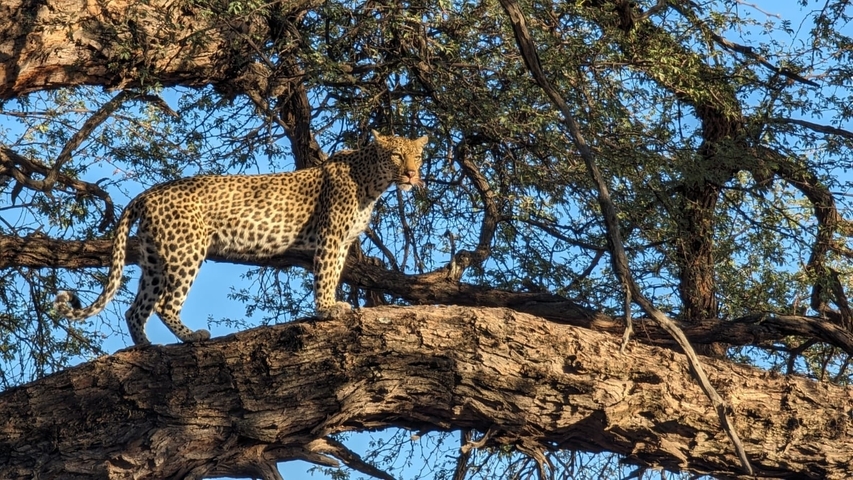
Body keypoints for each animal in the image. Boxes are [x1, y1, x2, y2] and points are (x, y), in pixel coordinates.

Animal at [54, 130, 428, 345]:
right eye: (397, 155)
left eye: (419, 156)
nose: (412, 174)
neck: (372, 182)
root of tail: (147, 194)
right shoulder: (331, 237)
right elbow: (325, 275)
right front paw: (326, 309)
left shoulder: (345, 241)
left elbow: (335, 273)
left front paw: (330, 306)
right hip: (186, 251)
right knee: (164, 304)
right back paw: (193, 338)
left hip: (155, 258)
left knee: (136, 308)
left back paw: (145, 347)